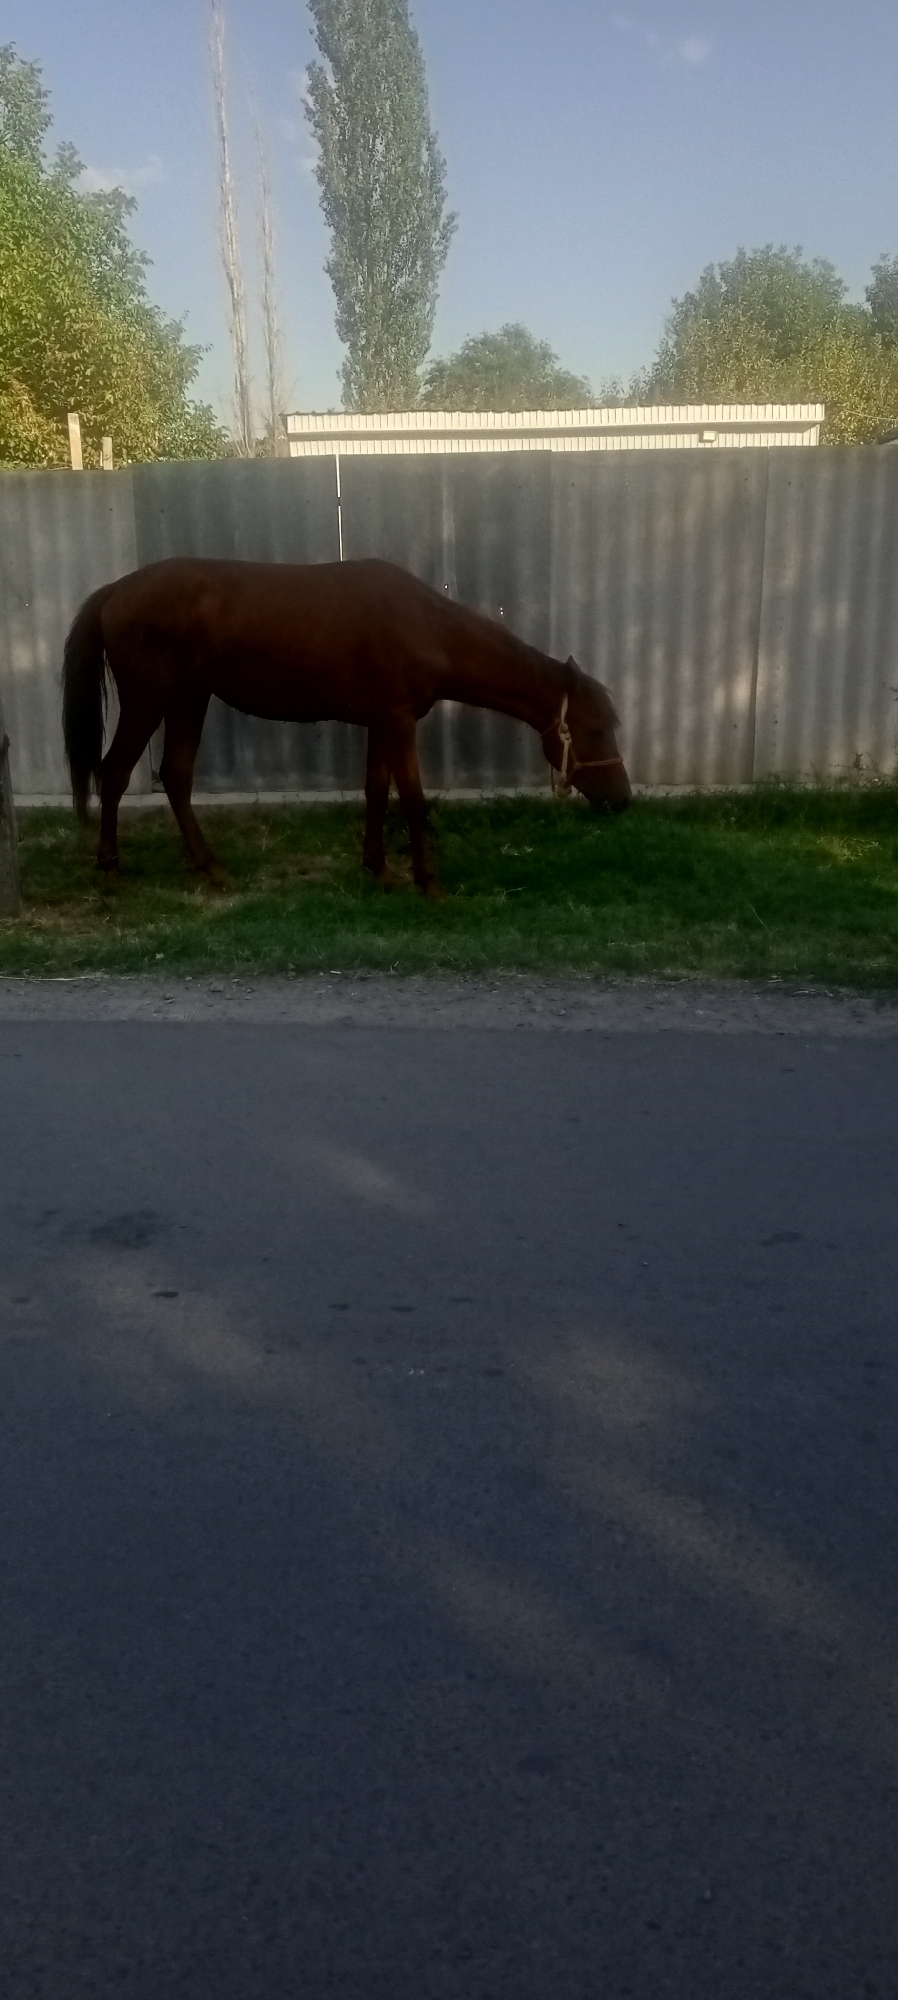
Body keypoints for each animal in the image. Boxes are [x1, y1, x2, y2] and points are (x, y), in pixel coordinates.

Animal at [62, 556, 630, 895]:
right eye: (596, 727)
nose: (622, 799)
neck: (424, 626)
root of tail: (115, 590)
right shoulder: (398, 722)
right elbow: (413, 800)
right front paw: (428, 883)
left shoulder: (382, 722)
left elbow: (376, 792)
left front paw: (377, 868)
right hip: (149, 700)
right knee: (114, 774)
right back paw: (110, 868)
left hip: (188, 699)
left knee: (177, 777)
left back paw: (212, 867)